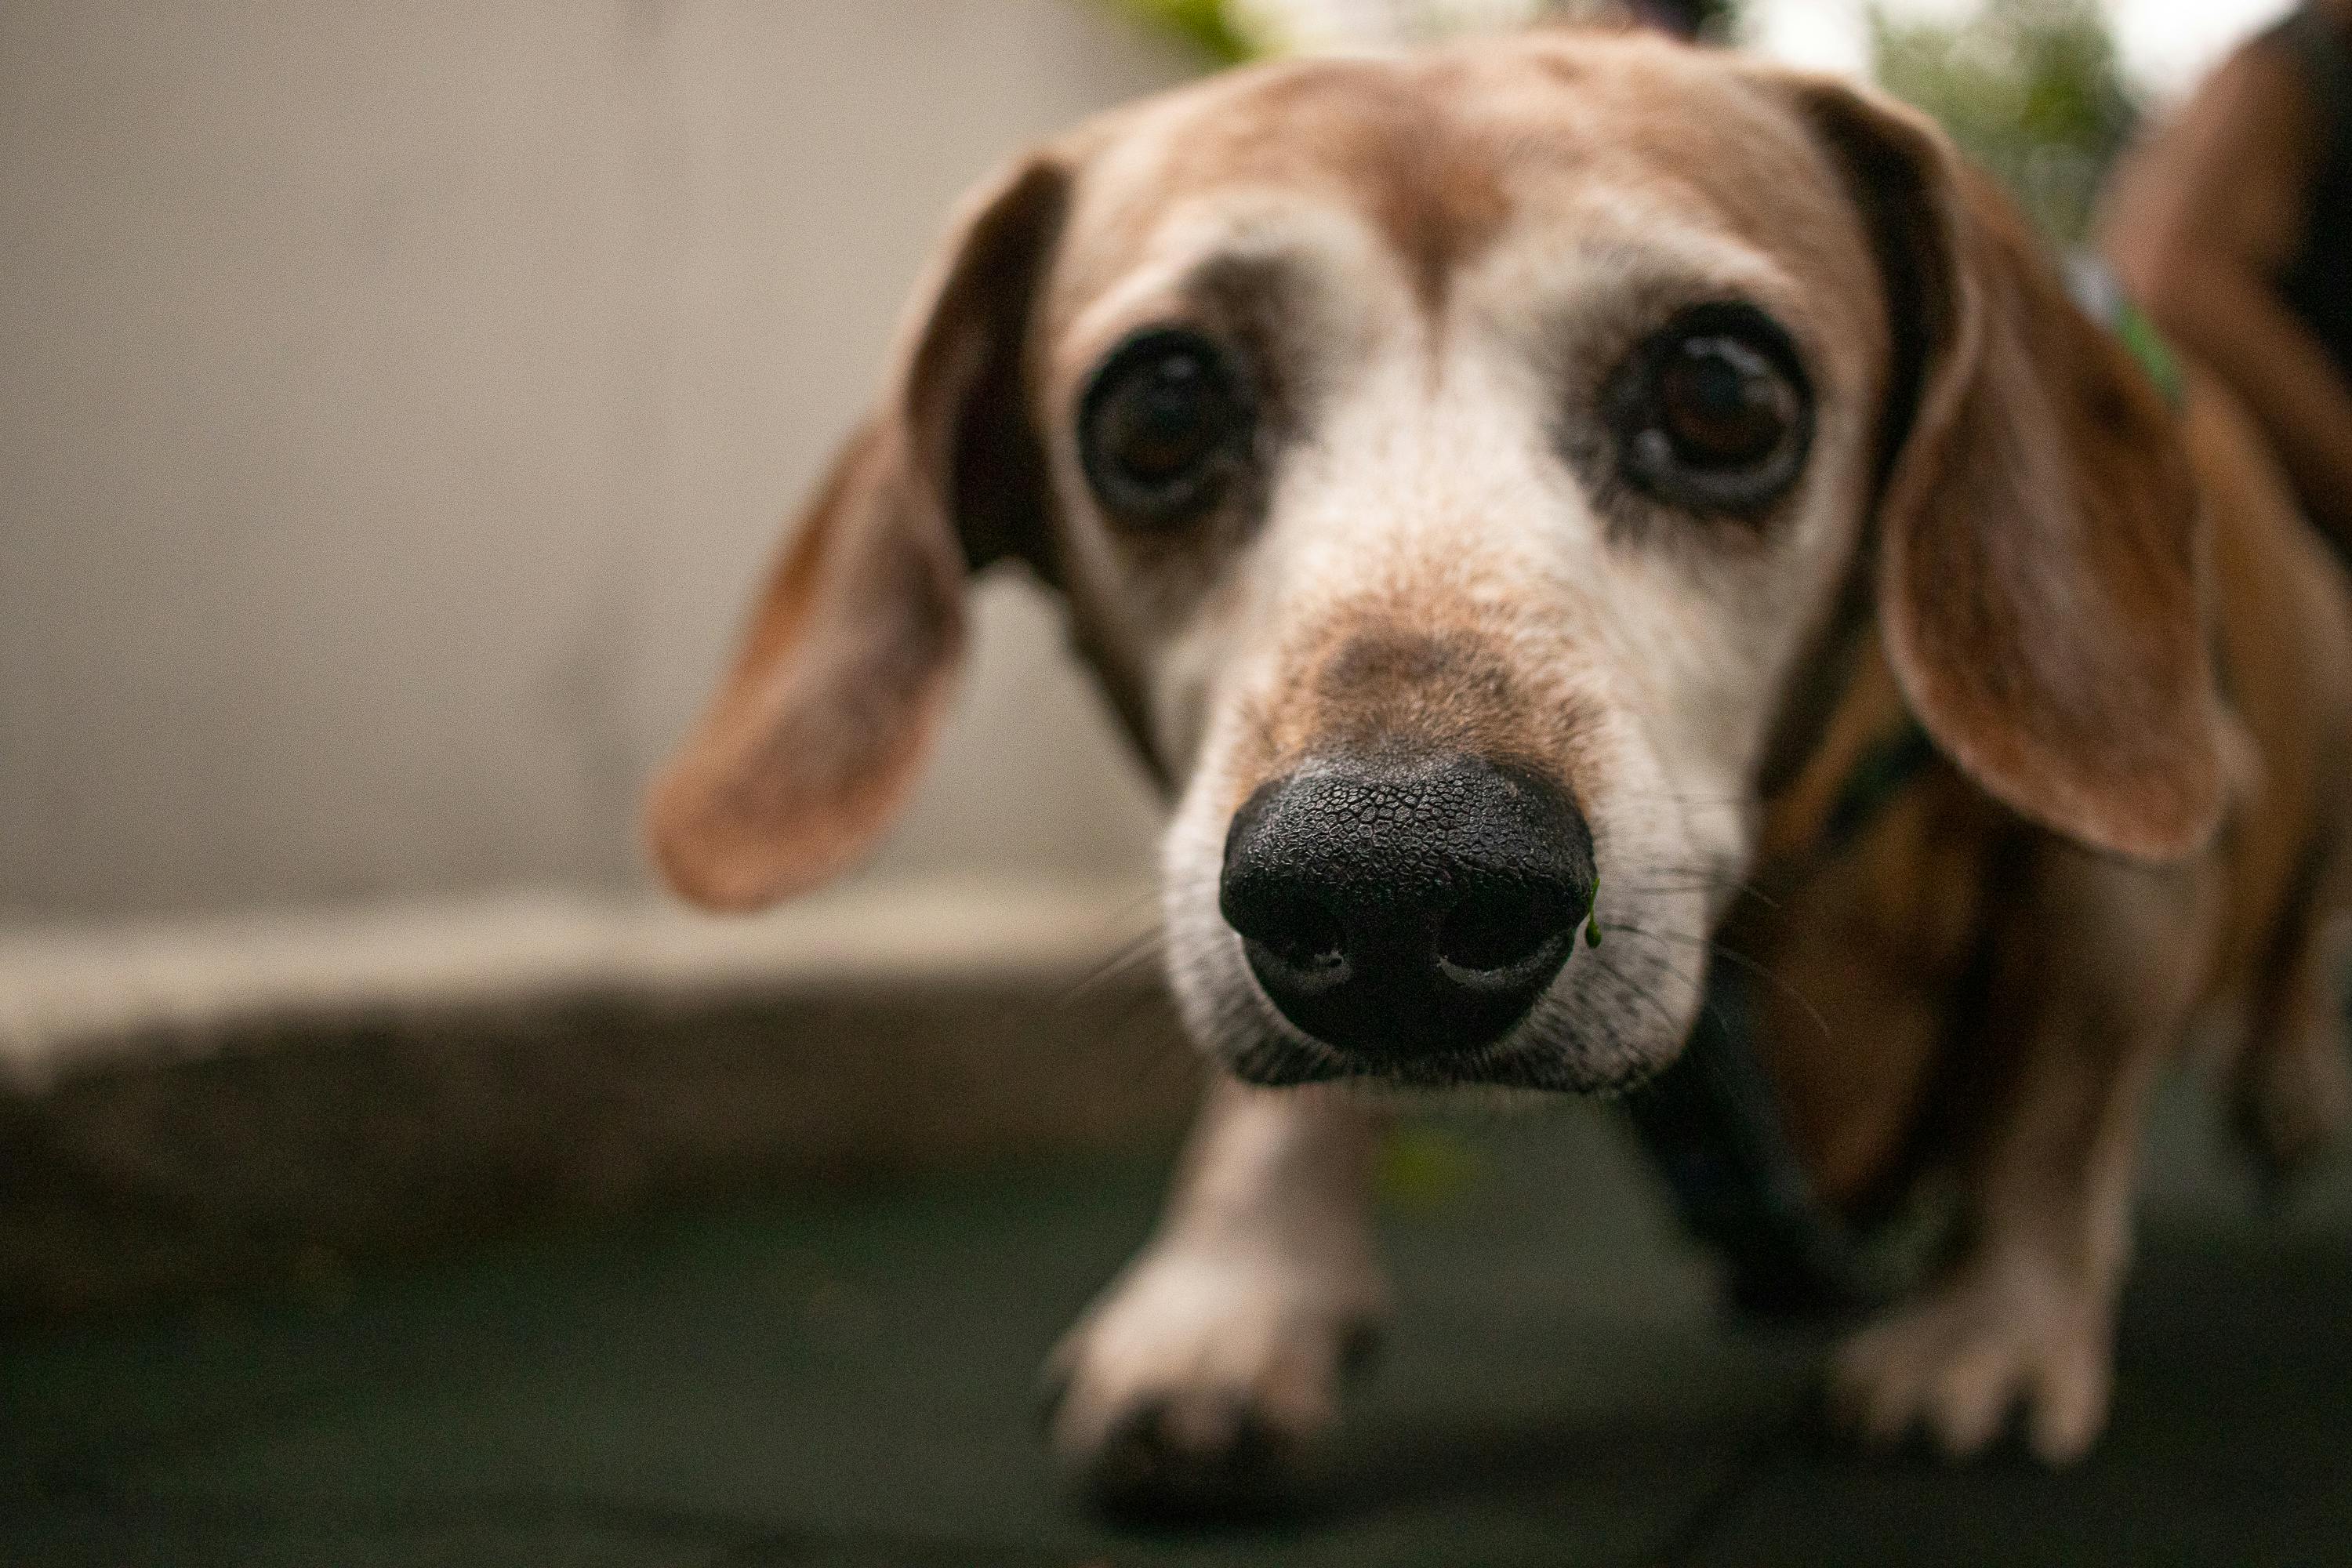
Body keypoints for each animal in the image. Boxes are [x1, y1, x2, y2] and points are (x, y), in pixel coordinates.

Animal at [640, 27, 2352, 1504]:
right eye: (1161, 407)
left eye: (1723, 391)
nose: (1389, 880)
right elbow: (1278, 1109)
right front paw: (1231, 1295)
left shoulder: (2128, 878)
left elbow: (2058, 1116)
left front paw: (1988, 1328)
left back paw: (2286, 1092)